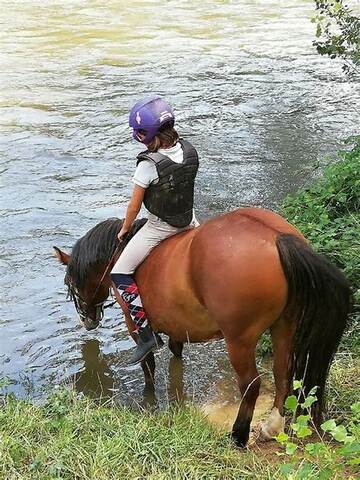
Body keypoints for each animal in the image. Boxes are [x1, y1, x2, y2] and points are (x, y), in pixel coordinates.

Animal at [54, 208, 350, 448]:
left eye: (71, 284)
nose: (87, 320)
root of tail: (277, 236)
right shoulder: (177, 325)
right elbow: (175, 355)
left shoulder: (133, 322)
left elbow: (148, 362)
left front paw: (149, 398)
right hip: (284, 326)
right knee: (283, 372)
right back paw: (271, 426)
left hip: (239, 339)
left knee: (251, 384)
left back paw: (239, 435)